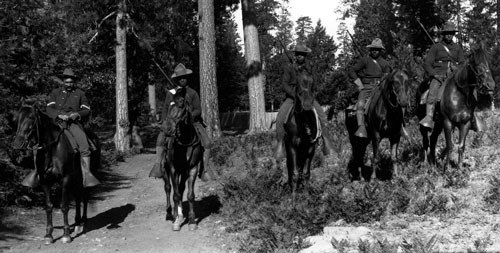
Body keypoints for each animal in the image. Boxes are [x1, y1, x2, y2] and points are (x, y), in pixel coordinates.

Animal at [11, 104, 99, 243]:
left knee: (85, 196)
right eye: (17, 119)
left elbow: (64, 206)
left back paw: (83, 222)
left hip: (85, 176)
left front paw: (66, 234)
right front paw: (48, 235)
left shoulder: (65, 179)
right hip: (75, 179)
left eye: (31, 118)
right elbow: (49, 206)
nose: (17, 144)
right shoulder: (45, 181)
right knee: (78, 197)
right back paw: (78, 223)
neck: (52, 149)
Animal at [161, 91, 202, 231]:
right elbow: (175, 194)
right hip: (165, 170)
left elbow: (189, 195)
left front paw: (192, 221)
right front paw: (176, 222)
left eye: (180, 105)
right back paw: (170, 213)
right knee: (168, 188)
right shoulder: (173, 168)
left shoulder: (193, 168)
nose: (166, 129)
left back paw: (179, 214)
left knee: (180, 188)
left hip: (183, 172)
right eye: (169, 105)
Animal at [416, 44, 494, 173]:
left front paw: (459, 169)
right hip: (425, 123)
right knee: (425, 141)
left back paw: (433, 164)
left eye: (487, 62)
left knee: (433, 139)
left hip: (438, 124)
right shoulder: (448, 122)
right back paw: (426, 165)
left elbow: (461, 146)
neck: (460, 95)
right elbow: (450, 145)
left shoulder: (465, 123)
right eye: (475, 63)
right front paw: (447, 169)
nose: (490, 85)